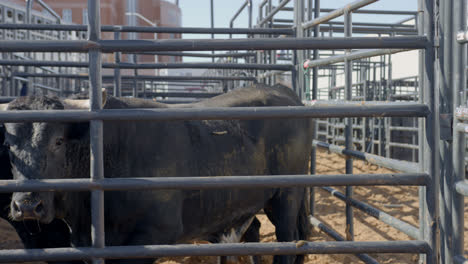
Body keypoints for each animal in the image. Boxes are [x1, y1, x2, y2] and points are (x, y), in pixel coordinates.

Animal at [3, 85, 312, 264]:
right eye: (8, 144)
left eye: (58, 141)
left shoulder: (156, 233)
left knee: (288, 238)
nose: (27, 205)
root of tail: (279, 89)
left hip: (287, 195)